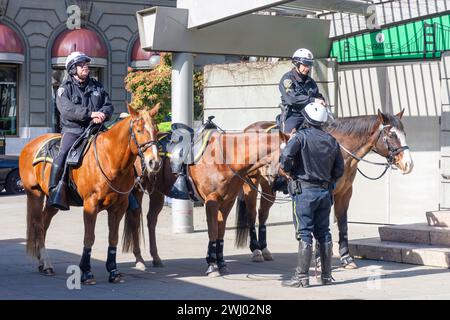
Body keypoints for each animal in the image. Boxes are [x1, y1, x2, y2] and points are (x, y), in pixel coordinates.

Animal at [20, 104, 163, 284]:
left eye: (156, 130)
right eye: (138, 130)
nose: (155, 162)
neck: (110, 159)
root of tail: (30, 144)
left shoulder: (118, 207)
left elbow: (113, 238)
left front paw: (113, 271)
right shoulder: (90, 205)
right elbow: (89, 237)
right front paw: (86, 271)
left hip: (54, 201)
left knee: (44, 223)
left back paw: (42, 262)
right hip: (35, 195)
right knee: (38, 226)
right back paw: (46, 263)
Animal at [121, 129, 288, 276]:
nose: (284, 184)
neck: (225, 158)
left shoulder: (227, 202)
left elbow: (220, 232)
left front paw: (221, 263)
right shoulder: (212, 201)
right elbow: (213, 231)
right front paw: (212, 266)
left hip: (157, 192)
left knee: (151, 220)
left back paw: (156, 257)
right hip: (137, 190)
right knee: (135, 220)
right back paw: (139, 259)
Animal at [234, 110, 414, 268]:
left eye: (405, 133)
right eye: (391, 135)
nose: (408, 164)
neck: (341, 150)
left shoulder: (344, 193)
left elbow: (343, 225)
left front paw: (346, 258)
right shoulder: (325, 194)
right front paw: (320, 259)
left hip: (268, 188)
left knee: (263, 214)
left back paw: (264, 249)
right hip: (250, 184)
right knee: (252, 215)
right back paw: (256, 250)